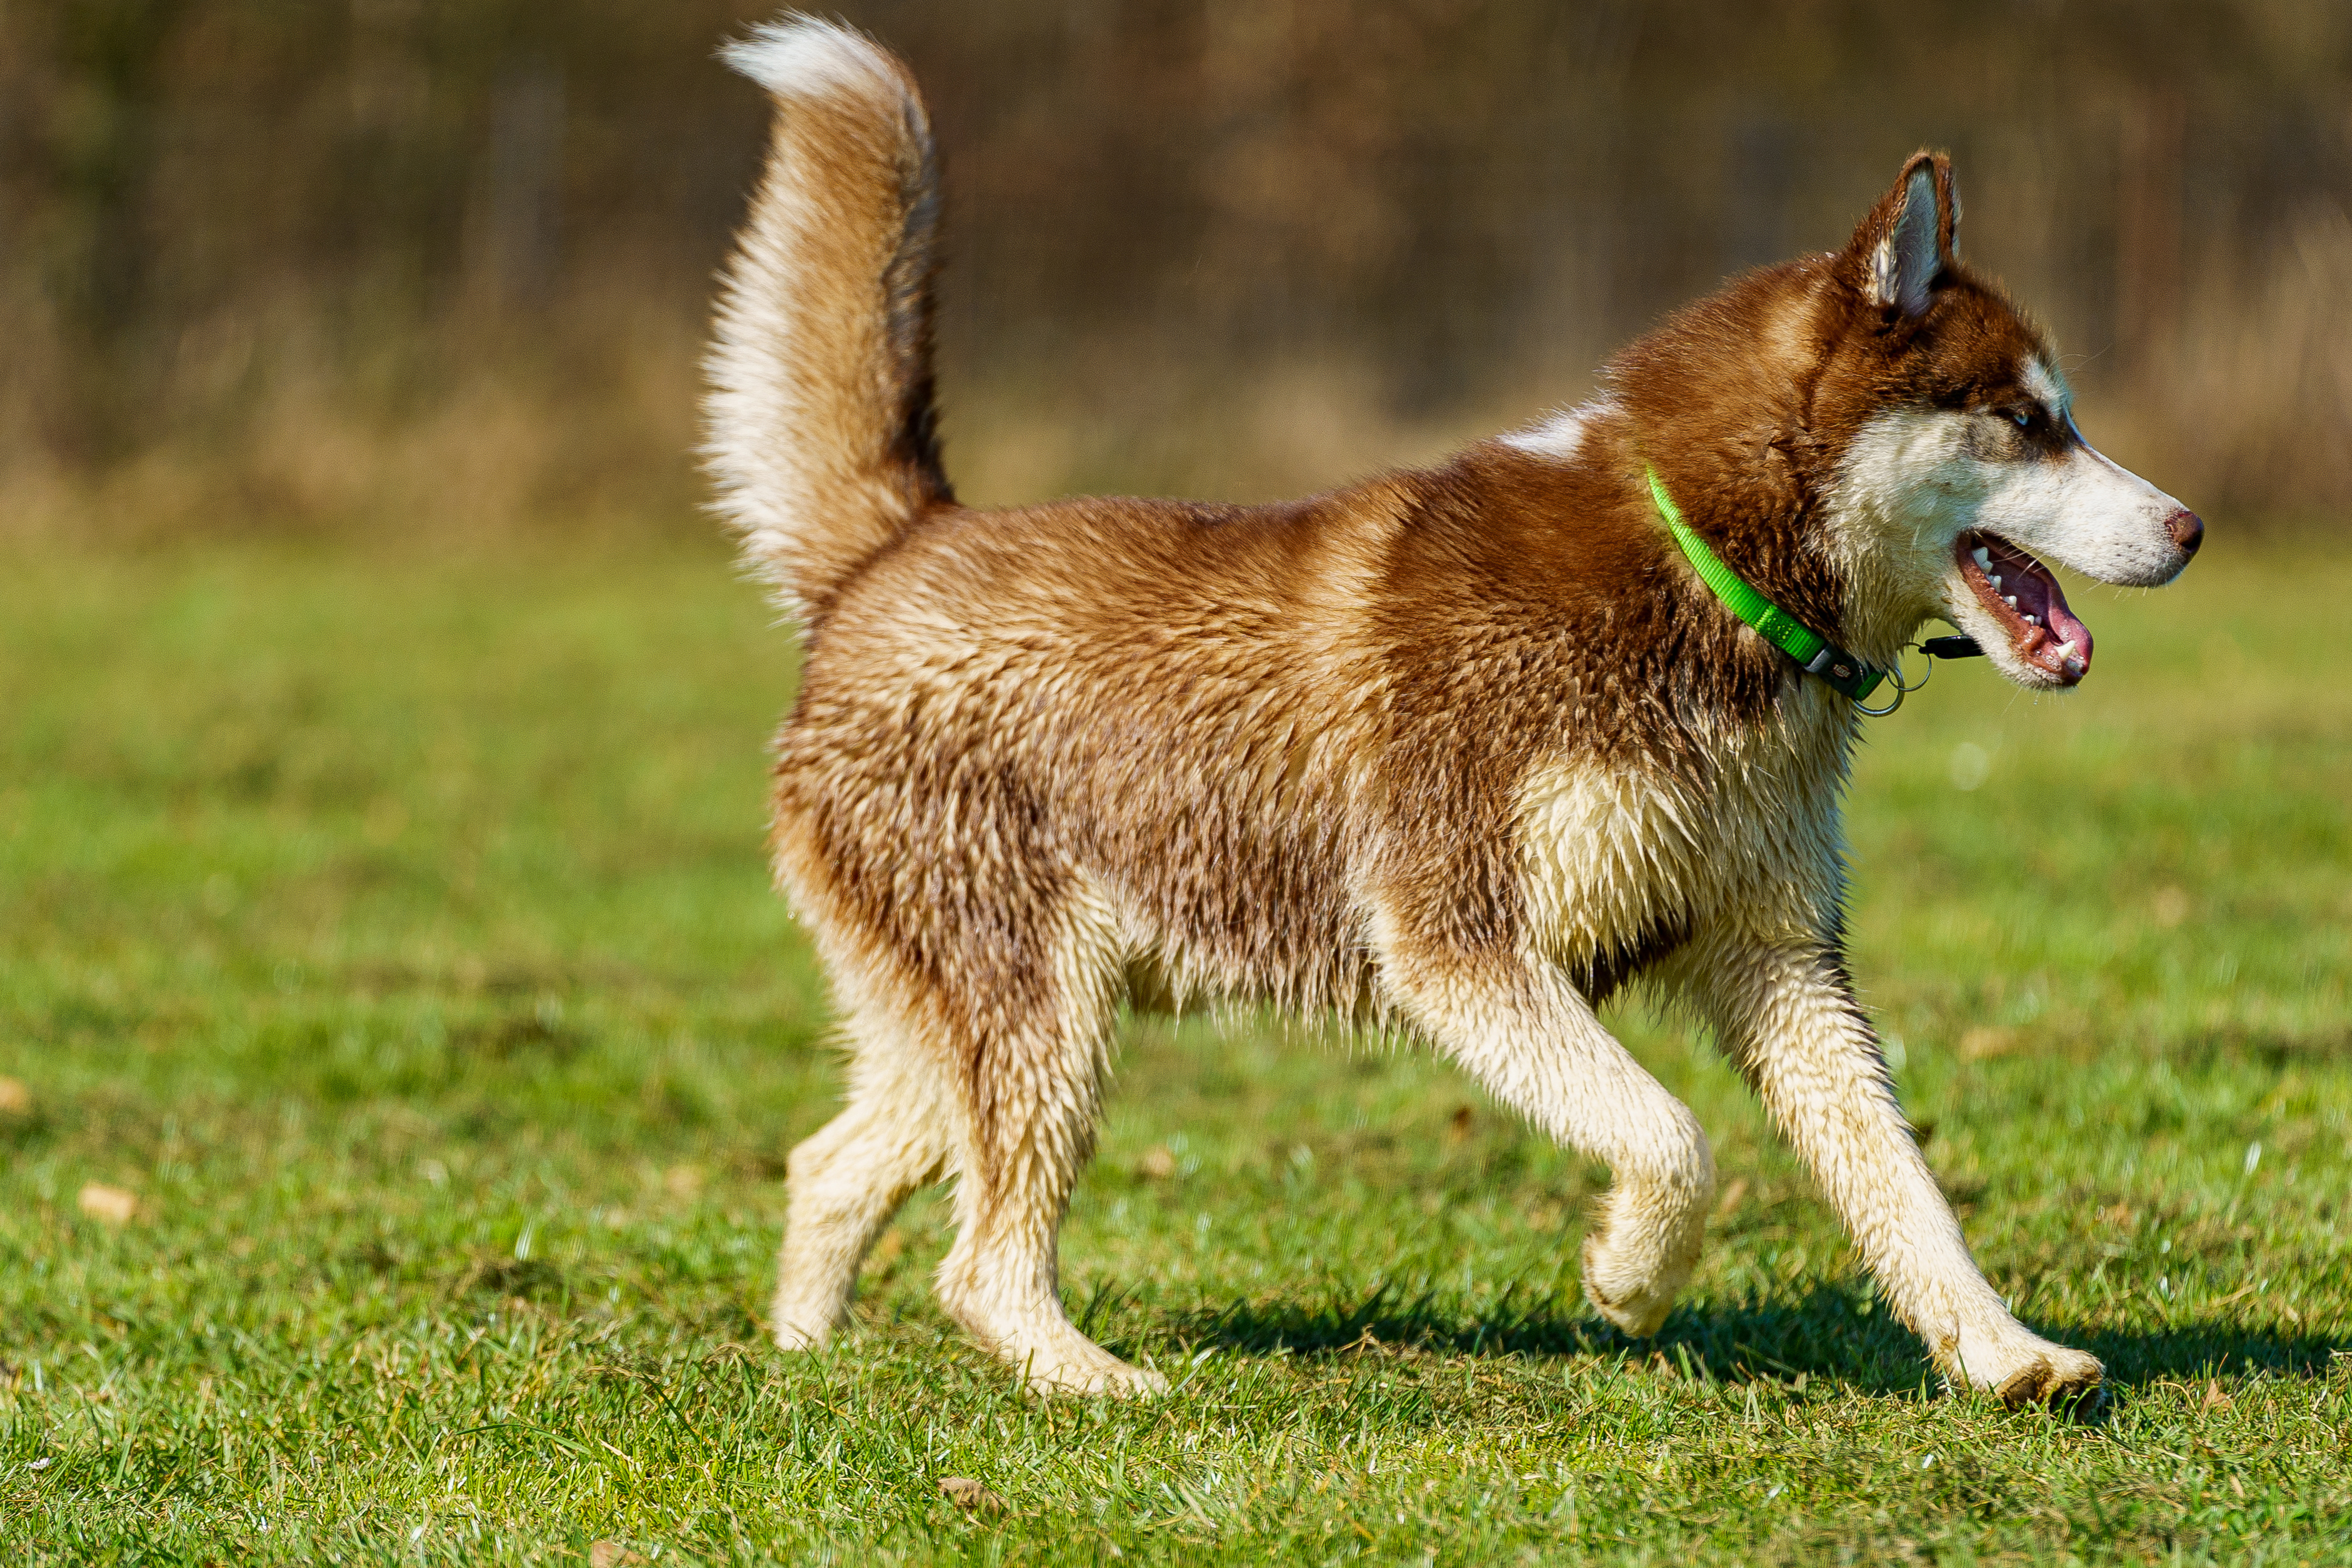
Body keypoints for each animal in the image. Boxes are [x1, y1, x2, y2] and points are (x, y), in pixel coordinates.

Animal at [696, 18, 2201, 1401]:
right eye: (2025, 421)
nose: (2190, 528)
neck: (1702, 579)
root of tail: (898, 546)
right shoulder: (1458, 944)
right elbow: (1673, 1136)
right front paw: (1629, 1275)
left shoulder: (1777, 955)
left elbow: (1903, 1182)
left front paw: (2005, 1351)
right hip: (1041, 1013)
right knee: (980, 1261)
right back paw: (1092, 1380)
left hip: (981, 1016)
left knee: (829, 1161)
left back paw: (806, 1358)